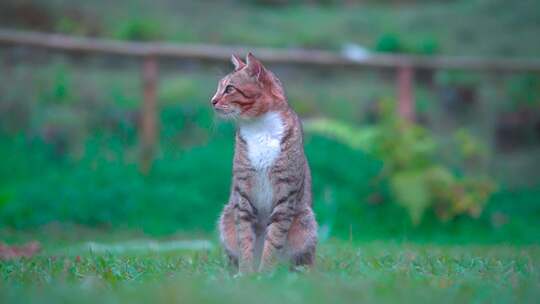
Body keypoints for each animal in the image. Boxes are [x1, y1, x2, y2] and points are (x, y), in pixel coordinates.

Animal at [211, 53, 318, 274]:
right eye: (219, 88)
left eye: (229, 88)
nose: (212, 101)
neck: (259, 128)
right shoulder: (243, 193)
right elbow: (245, 238)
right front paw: (246, 273)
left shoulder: (285, 194)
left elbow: (274, 239)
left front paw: (265, 274)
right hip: (227, 217)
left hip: (306, 221)